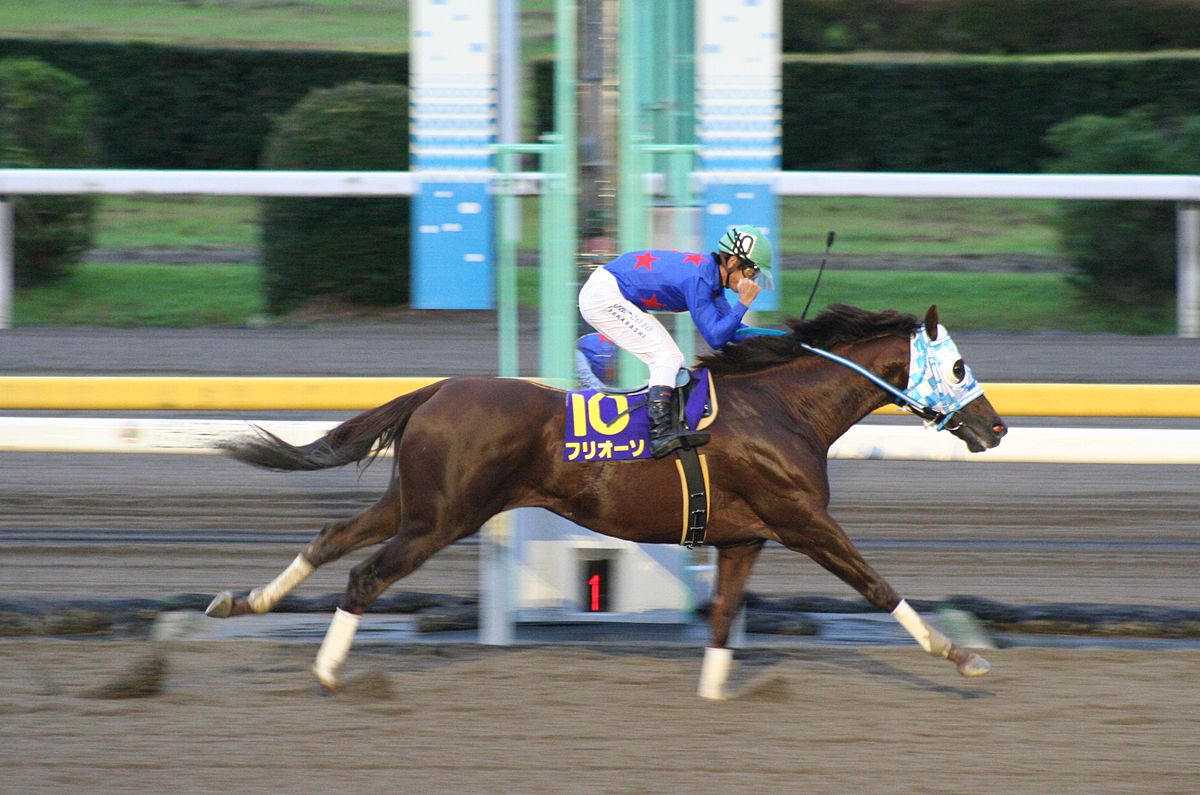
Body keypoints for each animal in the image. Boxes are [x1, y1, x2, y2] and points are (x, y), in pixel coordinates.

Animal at [204, 302, 1003, 701]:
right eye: (960, 364)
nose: (996, 427)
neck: (785, 410)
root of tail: (434, 391)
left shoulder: (744, 537)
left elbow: (721, 618)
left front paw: (715, 693)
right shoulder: (802, 520)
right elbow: (875, 584)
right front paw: (959, 655)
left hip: (417, 503)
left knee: (334, 535)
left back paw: (244, 600)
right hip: (444, 517)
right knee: (366, 573)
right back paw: (328, 671)